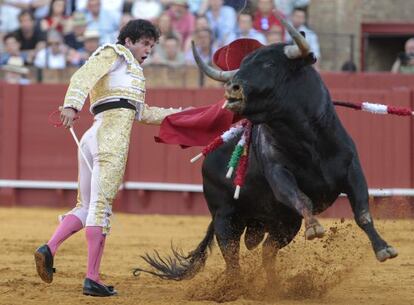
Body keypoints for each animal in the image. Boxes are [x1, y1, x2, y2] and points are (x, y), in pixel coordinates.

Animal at [133, 16, 398, 280]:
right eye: (243, 65)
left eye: (270, 64)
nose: (232, 88)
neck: (307, 140)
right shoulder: (278, 174)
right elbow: (301, 197)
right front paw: (314, 227)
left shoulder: (352, 170)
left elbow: (363, 212)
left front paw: (383, 249)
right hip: (225, 218)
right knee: (233, 258)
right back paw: (236, 285)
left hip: (285, 223)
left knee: (267, 251)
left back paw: (274, 284)